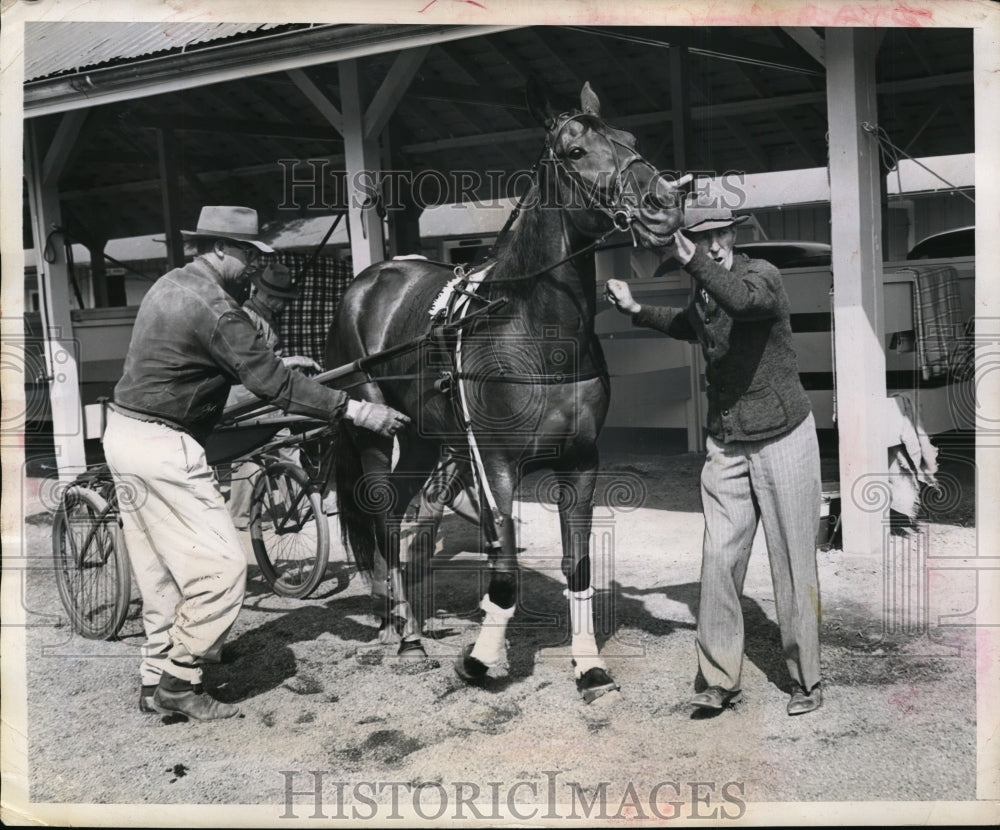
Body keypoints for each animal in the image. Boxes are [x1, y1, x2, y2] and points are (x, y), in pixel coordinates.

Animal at [328, 83, 688, 704]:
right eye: (574, 151)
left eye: (630, 138)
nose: (663, 201)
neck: (531, 330)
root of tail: (368, 281)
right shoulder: (494, 462)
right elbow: (504, 571)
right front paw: (478, 660)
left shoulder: (580, 460)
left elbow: (578, 565)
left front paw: (588, 666)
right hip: (373, 427)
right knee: (380, 515)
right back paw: (403, 632)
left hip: (422, 438)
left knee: (399, 515)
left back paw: (409, 625)